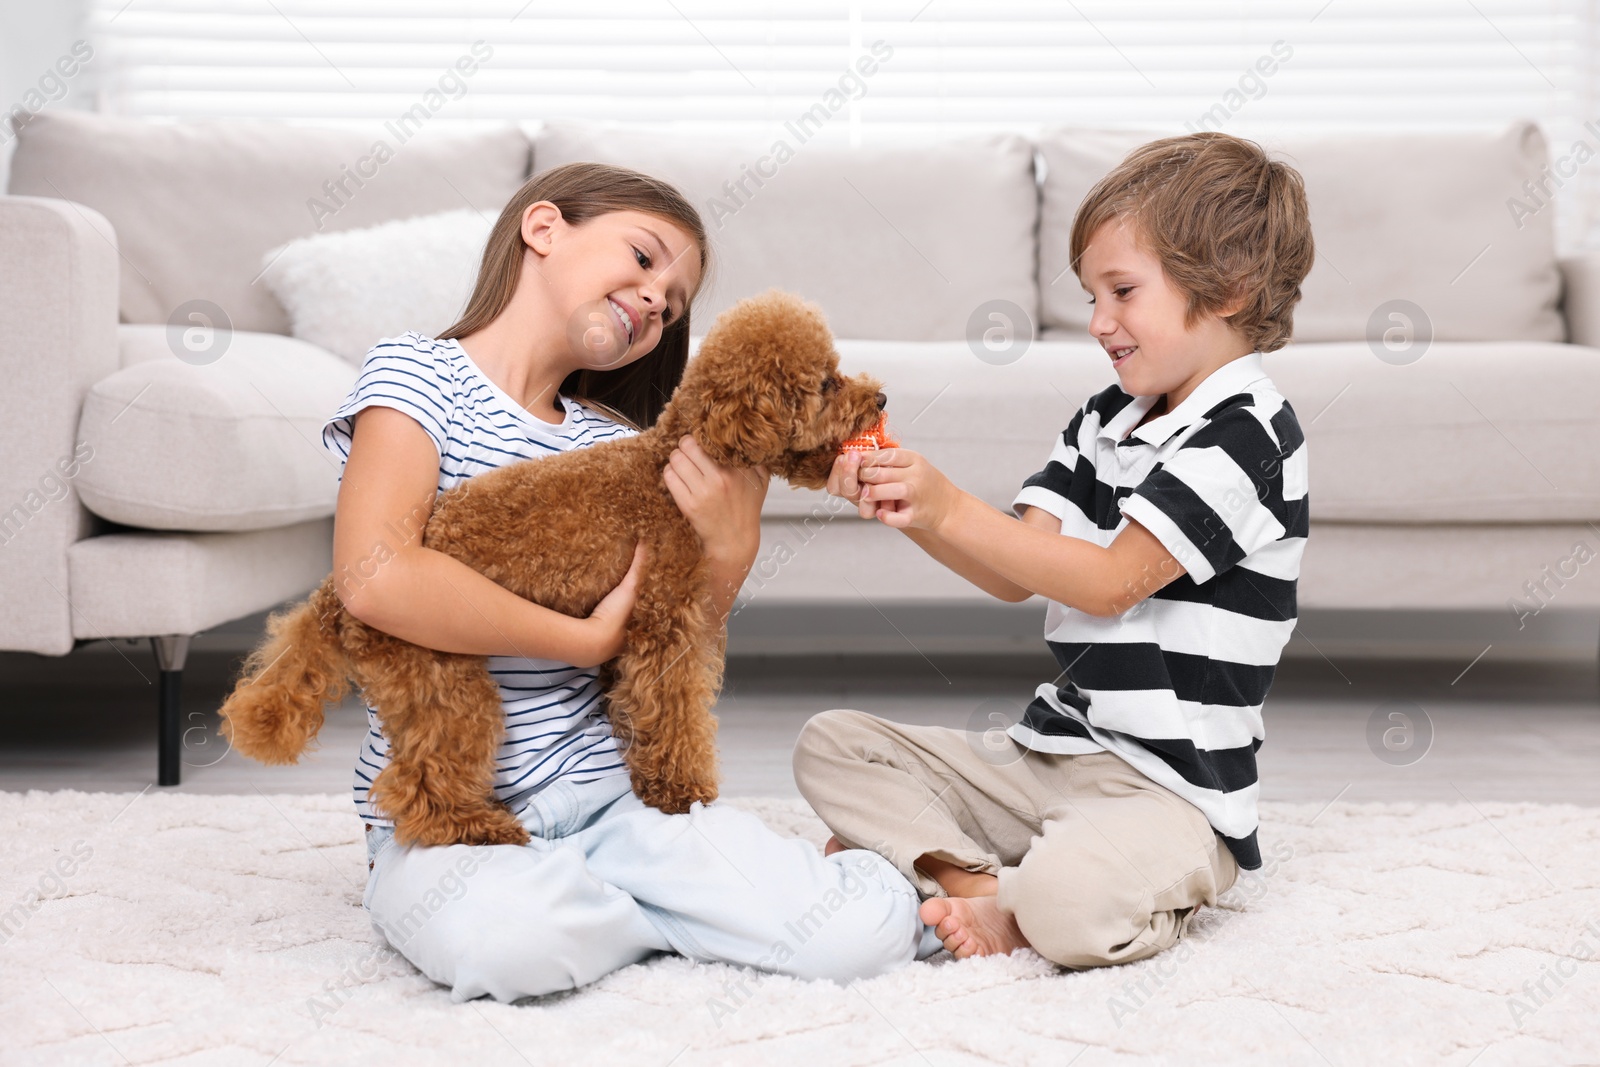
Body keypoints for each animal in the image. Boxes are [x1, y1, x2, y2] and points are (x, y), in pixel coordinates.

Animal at [217, 292, 889, 851]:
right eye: (827, 382)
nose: (881, 397)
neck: (670, 466)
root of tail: (339, 590)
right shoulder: (661, 623)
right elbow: (673, 709)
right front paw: (681, 791)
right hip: (438, 672)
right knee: (420, 777)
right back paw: (476, 829)